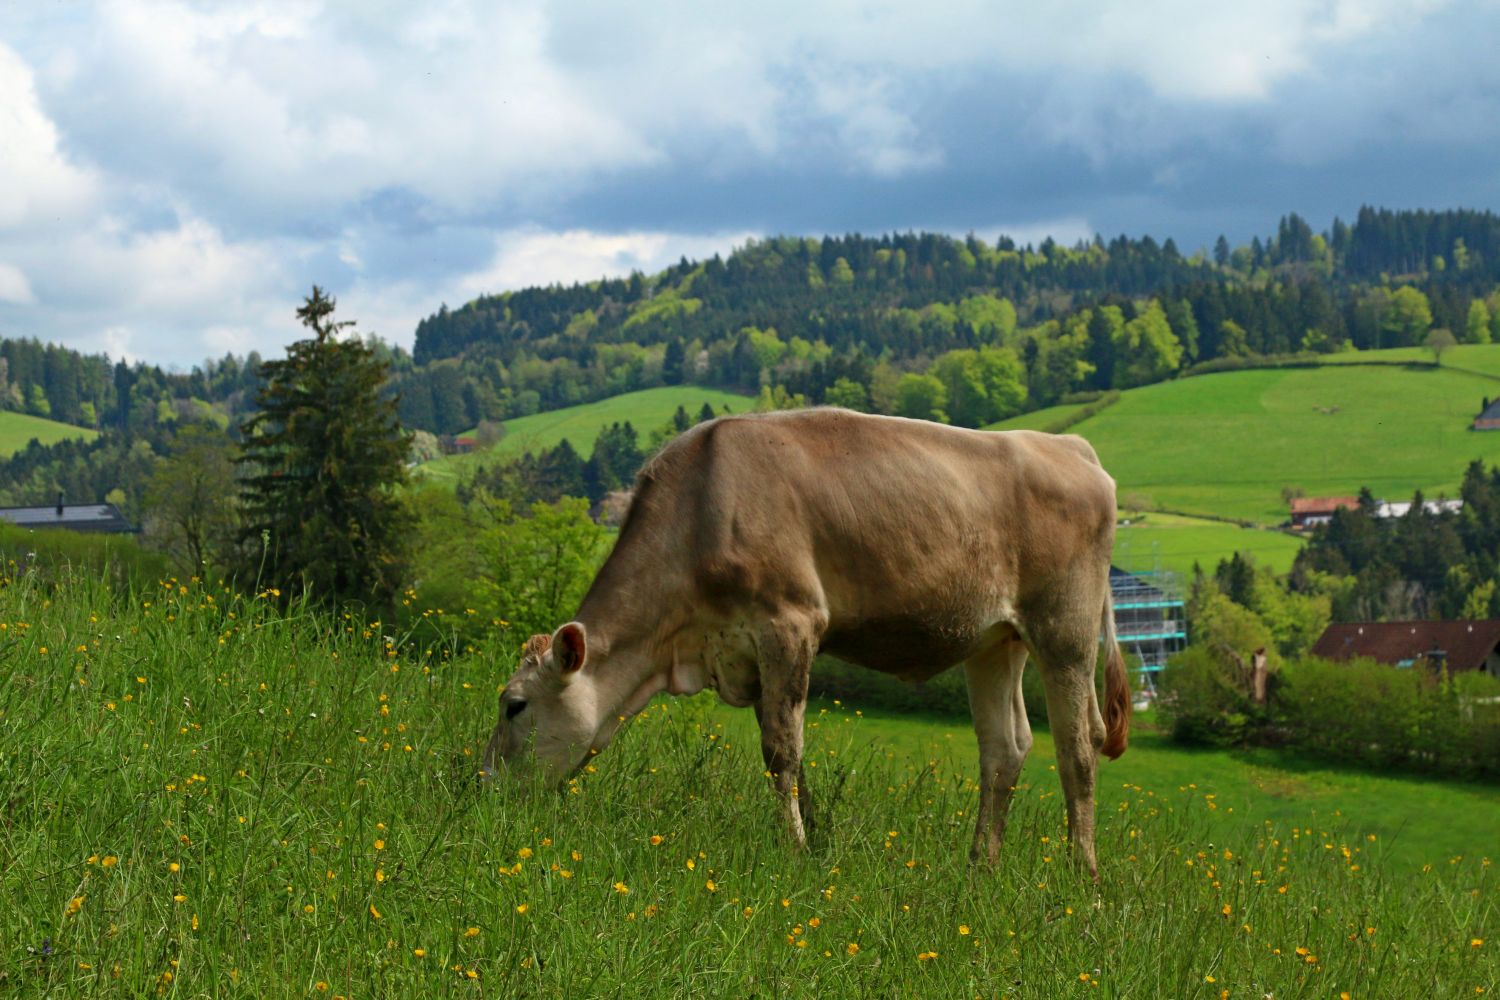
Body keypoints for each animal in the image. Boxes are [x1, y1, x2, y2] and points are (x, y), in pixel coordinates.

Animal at [486, 407, 1128, 875]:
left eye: (515, 705)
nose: (482, 785)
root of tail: (1071, 446)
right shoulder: (745, 652)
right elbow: (788, 752)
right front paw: (814, 840)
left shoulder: (790, 622)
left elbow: (781, 750)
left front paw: (793, 852)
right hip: (996, 639)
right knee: (1005, 748)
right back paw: (979, 871)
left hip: (1065, 629)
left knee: (1078, 747)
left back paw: (1083, 880)